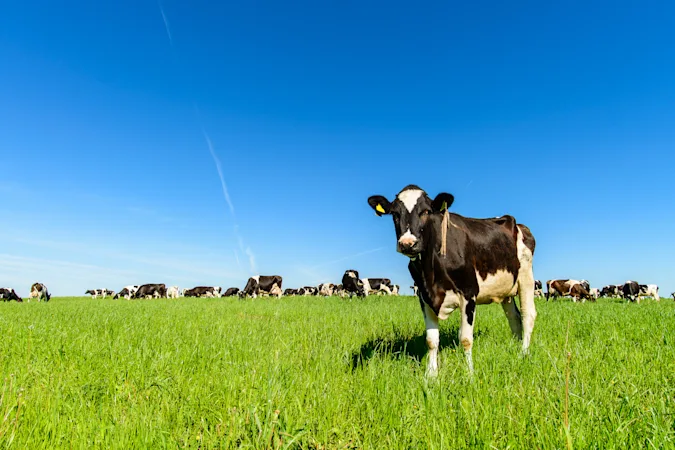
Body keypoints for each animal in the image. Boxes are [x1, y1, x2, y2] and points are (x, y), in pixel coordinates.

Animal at [368, 185, 536, 375]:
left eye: (426, 211)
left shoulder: (469, 293)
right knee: (513, 317)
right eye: (395, 213)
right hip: (506, 290)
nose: (407, 243)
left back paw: (523, 353)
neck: (431, 271)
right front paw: (431, 374)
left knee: (527, 315)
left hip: (526, 277)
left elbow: (466, 339)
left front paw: (470, 374)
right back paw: (515, 347)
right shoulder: (424, 296)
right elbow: (432, 340)